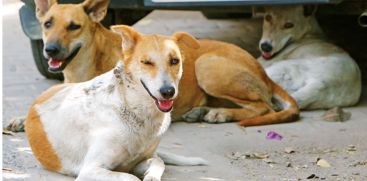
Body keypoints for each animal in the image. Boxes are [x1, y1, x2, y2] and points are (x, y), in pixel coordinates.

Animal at [24, 26, 206, 180]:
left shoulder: (140, 160)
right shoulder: (90, 170)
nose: (168, 91)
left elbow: (158, 162)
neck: (132, 108)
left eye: (174, 61)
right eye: (147, 62)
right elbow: (130, 177)